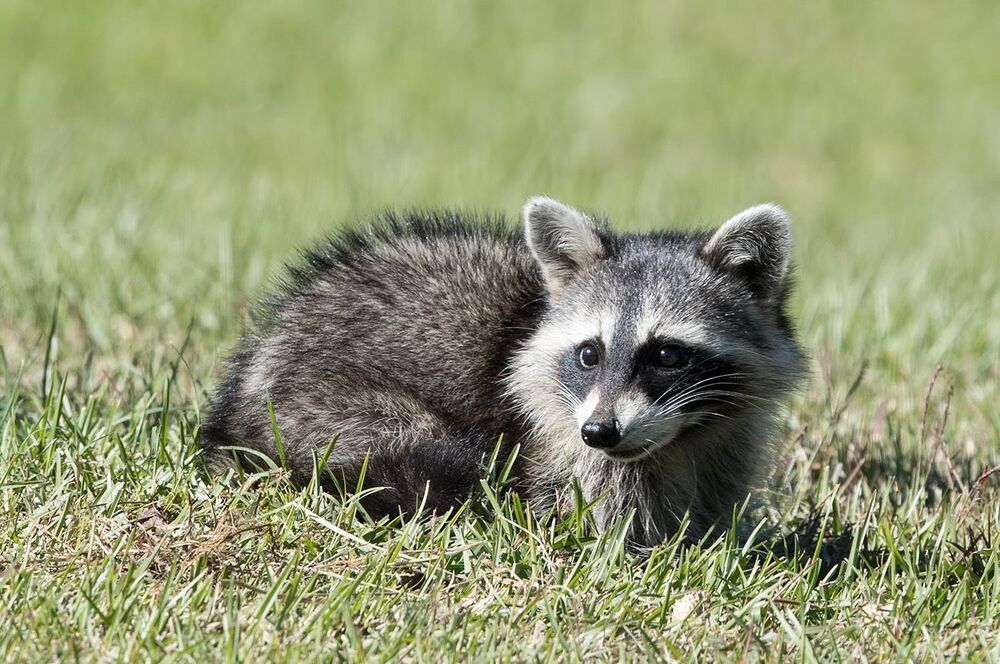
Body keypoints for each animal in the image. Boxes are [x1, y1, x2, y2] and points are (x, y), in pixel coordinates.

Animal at [202, 197, 806, 548]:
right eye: (590, 353)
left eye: (666, 355)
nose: (599, 432)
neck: (680, 437)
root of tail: (231, 415)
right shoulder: (557, 445)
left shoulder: (725, 440)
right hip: (322, 408)